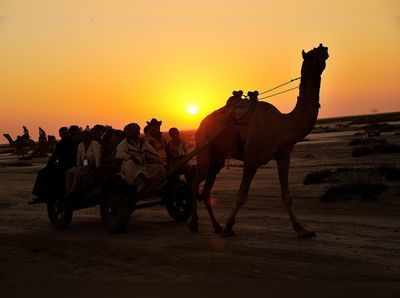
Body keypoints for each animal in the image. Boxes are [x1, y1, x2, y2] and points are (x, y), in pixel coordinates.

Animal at [189, 43, 330, 237]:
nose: (325, 47)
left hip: (217, 159)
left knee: (205, 190)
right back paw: (195, 224)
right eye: (315, 54)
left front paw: (302, 229)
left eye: (322, 52)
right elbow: (241, 196)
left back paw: (215, 226)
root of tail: (200, 125)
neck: (282, 125)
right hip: (204, 149)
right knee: (195, 183)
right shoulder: (251, 159)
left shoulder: (283, 155)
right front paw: (228, 227)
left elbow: (286, 196)